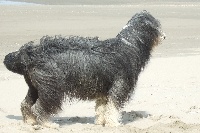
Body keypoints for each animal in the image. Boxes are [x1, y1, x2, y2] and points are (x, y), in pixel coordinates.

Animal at [3, 10, 165, 127]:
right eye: (157, 26)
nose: (164, 37)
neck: (129, 44)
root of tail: (29, 54)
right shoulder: (120, 85)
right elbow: (113, 106)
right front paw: (113, 124)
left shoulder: (103, 88)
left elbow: (102, 107)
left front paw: (100, 122)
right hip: (52, 88)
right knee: (40, 107)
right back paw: (48, 124)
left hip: (36, 86)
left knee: (26, 104)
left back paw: (30, 121)